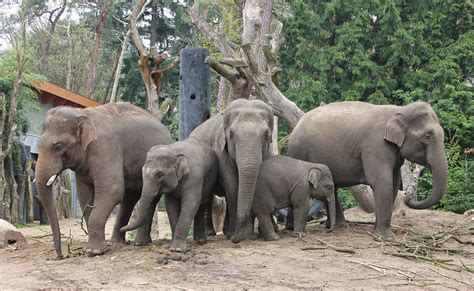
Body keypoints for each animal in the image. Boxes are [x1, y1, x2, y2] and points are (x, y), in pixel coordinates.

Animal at [35, 102, 172, 258]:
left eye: (57, 146)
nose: (62, 255)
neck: (81, 113)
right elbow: (84, 196)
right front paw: (95, 248)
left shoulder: (105, 148)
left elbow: (112, 190)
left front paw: (93, 252)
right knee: (129, 198)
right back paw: (117, 241)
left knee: (147, 198)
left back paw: (140, 243)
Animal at [187, 99, 272, 243]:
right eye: (231, 134)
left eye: (266, 134)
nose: (237, 238)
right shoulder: (220, 149)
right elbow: (231, 182)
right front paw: (233, 234)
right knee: (209, 196)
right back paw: (212, 233)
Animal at [286, 101, 446, 241]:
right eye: (427, 137)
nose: (409, 197)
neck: (399, 110)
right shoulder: (376, 145)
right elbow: (381, 182)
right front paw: (386, 238)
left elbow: (393, 183)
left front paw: (376, 233)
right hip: (299, 151)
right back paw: (294, 228)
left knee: (332, 187)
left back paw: (339, 226)